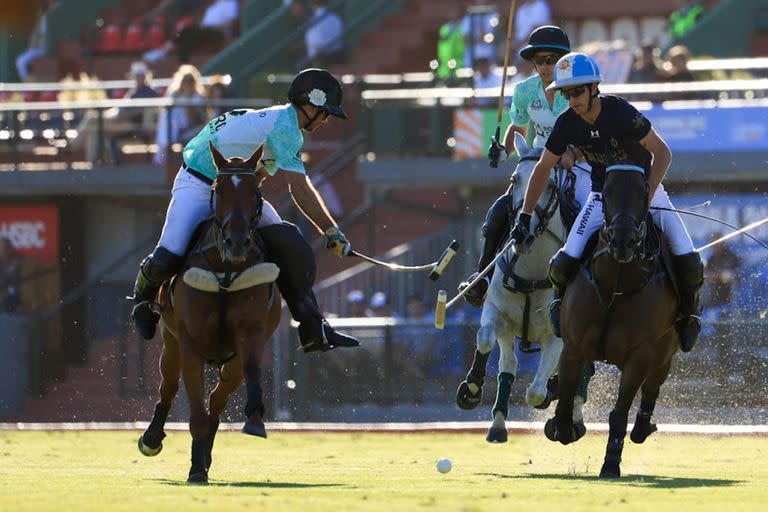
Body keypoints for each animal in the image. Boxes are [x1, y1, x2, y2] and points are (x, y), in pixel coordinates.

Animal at [138, 143, 282, 484]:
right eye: (218, 188)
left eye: (256, 192)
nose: (237, 242)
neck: (225, 269)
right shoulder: (190, 343)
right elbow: (194, 412)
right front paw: (194, 470)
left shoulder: (251, 335)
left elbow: (245, 376)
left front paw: (254, 418)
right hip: (170, 341)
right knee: (168, 387)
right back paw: (152, 438)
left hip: (230, 360)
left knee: (217, 400)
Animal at [456, 134, 588, 442]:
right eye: (515, 179)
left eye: (550, 184)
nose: (523, 231)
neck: (532, 269)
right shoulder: (497, 311)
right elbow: (485, 339)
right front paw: (471, 389)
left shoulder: (557, 336)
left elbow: (536, 393)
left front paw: (551, 392)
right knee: (508, 365)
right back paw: (497, 424)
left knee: (583, 372)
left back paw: (573, 419)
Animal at [544, 162, 680, 478]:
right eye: (605, 192)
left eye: (643, 192)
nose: (622, 241)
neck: (615, 283)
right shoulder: (574, 348)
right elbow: (565, 401)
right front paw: (561, 426)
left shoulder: (640, 356)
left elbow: (619, 413)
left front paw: (610, 463)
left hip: (665, 351)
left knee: (652, 388)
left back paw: (643, 427)